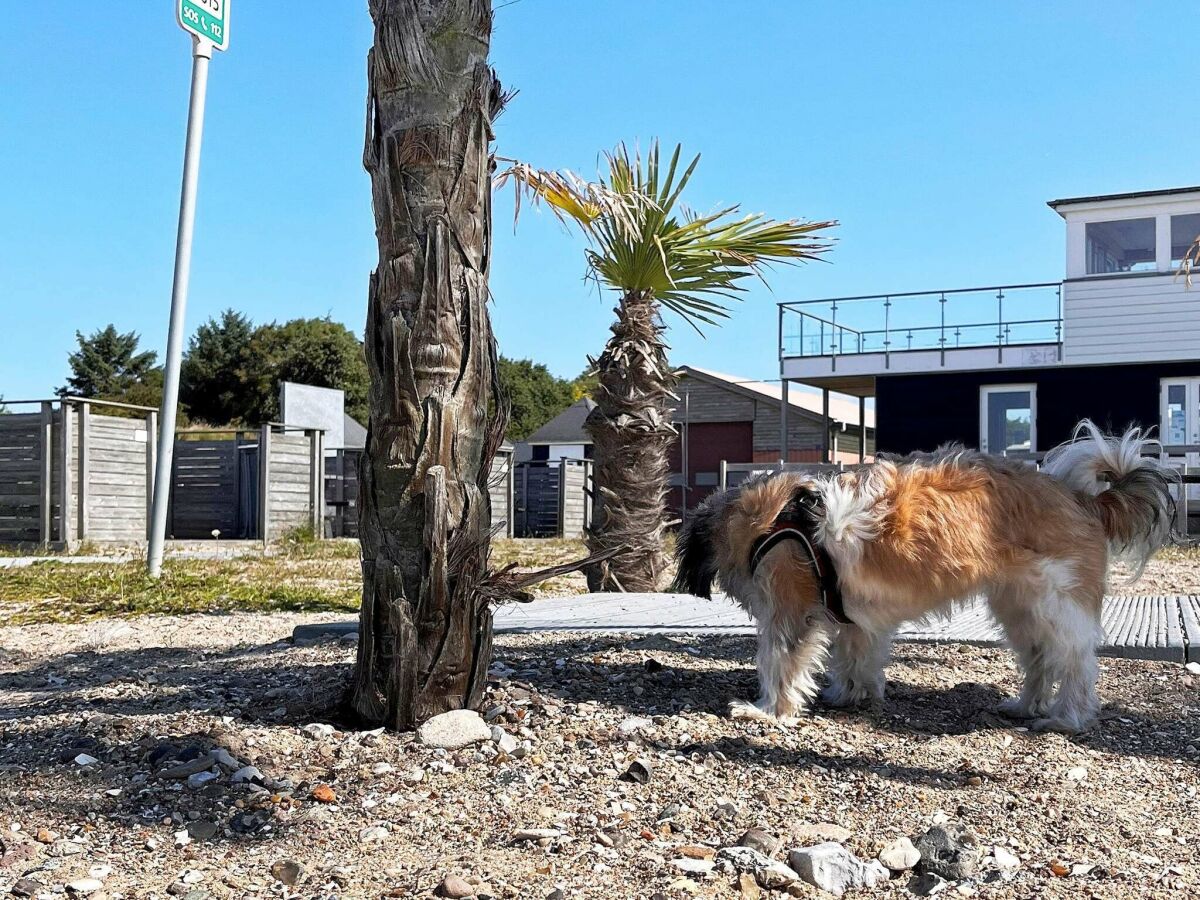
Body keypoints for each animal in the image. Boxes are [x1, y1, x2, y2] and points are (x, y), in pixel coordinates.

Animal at [672, 422, 1176, 734]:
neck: (773, 520)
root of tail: (1082, 499)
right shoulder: (854, 618)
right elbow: (856, 657)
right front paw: (849, 694)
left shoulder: (788, 612)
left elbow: (778, 662)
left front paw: (766, 712)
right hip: (1019, 609)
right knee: (1038, 660)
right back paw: (1023, 705)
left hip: (1055, 607)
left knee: (1074, 664)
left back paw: (1065, 718)